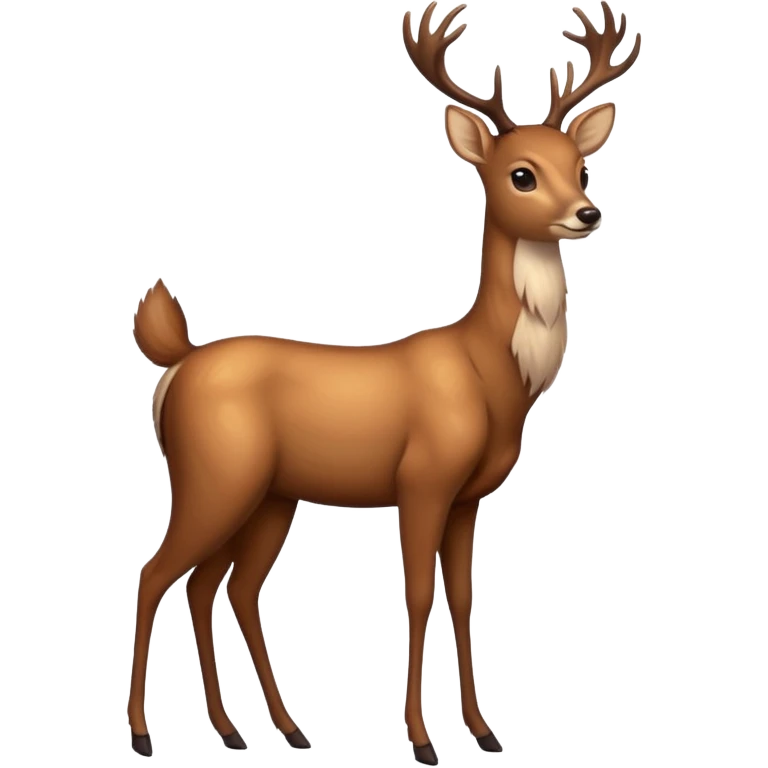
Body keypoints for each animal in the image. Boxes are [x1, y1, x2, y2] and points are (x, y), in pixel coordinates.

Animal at [127, 1, 641, 763]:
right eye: (521, 174)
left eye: (579, 166)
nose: (588, 212)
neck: (491, 376)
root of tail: (177, 363)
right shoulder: (422, 480)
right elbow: (419, 595)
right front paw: (423, 740)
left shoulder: (468, 497)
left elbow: (464, 598)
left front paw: (483, 732)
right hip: (214, 475)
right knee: (157, 574)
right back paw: (144, 732)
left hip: (270, 495)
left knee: (223, 587)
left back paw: (260, 729)